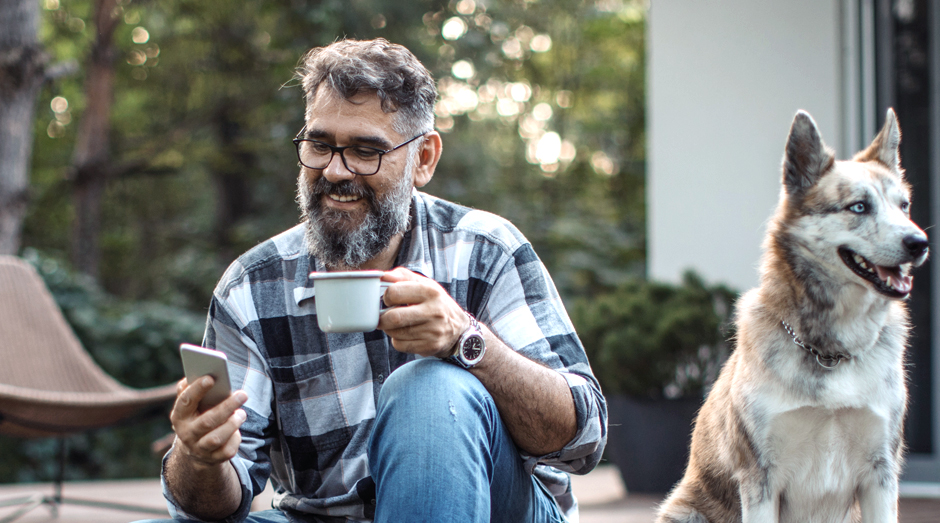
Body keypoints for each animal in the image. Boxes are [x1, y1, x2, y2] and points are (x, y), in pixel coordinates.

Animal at [656, 107, 928, 523]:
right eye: (859, 206)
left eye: (904, 206)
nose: (919, 243)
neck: (831, 353)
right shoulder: (760, 478)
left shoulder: (881, 474)